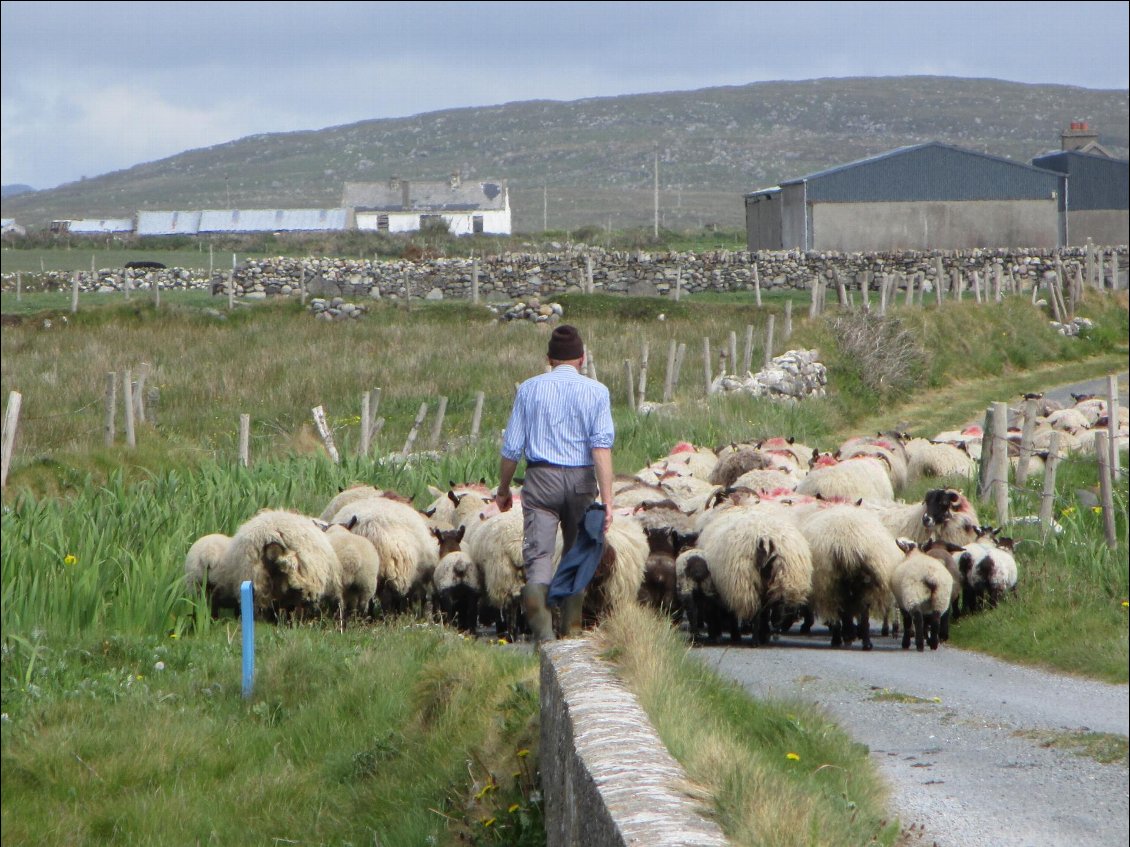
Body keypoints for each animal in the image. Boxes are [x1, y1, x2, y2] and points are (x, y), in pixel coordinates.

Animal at [804, 508, 899, 655]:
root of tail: (848, 546)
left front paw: (843, 636)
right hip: (858, 584)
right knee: (862, 610)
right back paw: (864, 641)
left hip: (839, 584)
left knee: (845, 609)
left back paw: (847, 636)